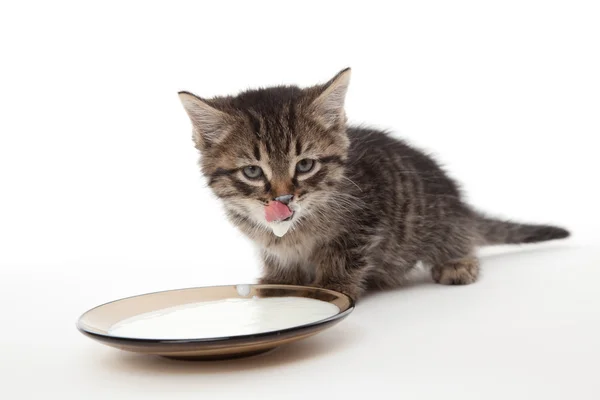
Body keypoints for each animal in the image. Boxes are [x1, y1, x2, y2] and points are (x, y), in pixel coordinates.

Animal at [177, 68, 568, 300]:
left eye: (305, 165)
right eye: (253, 172)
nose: (283, 198)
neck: (296, 227)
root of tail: (459, 204)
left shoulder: (366, 220)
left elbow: (343, 257)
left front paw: (332, 289)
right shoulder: (270, 244)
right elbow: (280, 262)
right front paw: (277, 284)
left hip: (437, 218)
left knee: (459, 236)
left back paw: (458, 261)